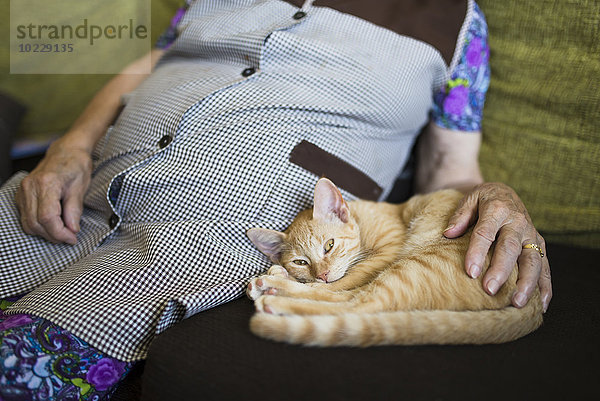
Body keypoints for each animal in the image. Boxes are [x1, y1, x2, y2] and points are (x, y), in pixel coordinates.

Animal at [245, 177, 544, 346]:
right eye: (301, 262)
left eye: (328, 245)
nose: (322, 273)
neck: (363, 220)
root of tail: (534, 303)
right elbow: (334, 286)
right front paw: (286, 273)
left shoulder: (387, 252)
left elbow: (337, 285)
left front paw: (290, 281)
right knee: (354, 300)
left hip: (413, 265)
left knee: (357, 304)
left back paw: (273, 296)